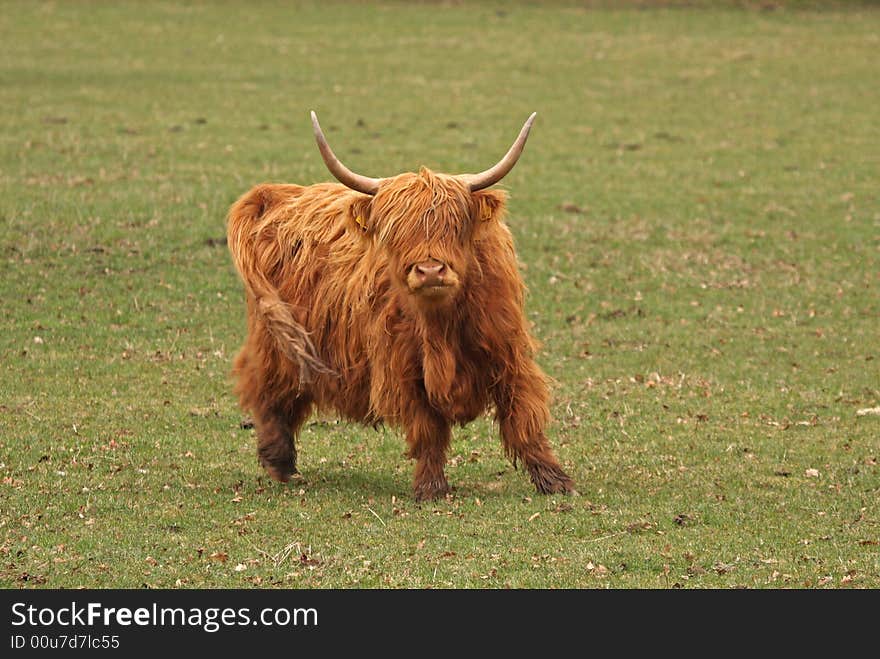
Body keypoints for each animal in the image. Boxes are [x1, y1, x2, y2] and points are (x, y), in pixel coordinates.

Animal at [227, 112, 576, 500]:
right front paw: (431, 487)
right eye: (396, 232)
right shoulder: (403, 367)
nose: (430, 270)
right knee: (265, 388)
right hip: (279, 338)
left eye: (454, 225)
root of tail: (276, 194)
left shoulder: (509, 353)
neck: (442, 326)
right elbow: (427, 428)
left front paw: (555, 480)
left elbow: (524, 417)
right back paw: (280, 462)